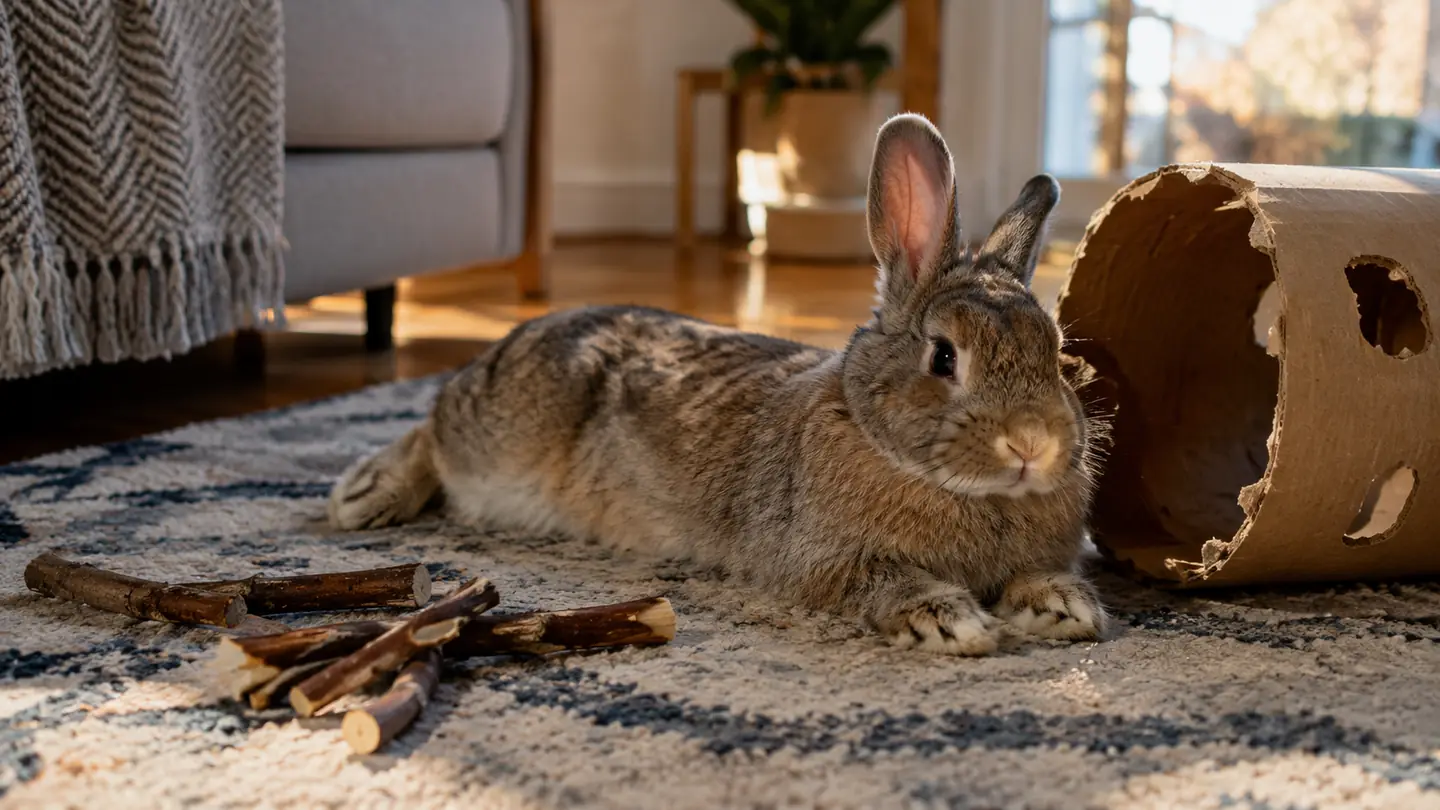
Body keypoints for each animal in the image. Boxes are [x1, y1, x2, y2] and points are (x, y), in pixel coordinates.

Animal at [328, 113, 1108, 655]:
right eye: (944, 357)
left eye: (1057, 353)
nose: (1032, 444)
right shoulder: (824, 561)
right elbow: (890, 582)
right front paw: (952, 624)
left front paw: (1066, 608)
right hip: (499, 445)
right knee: (432, 426)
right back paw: (362, 496)